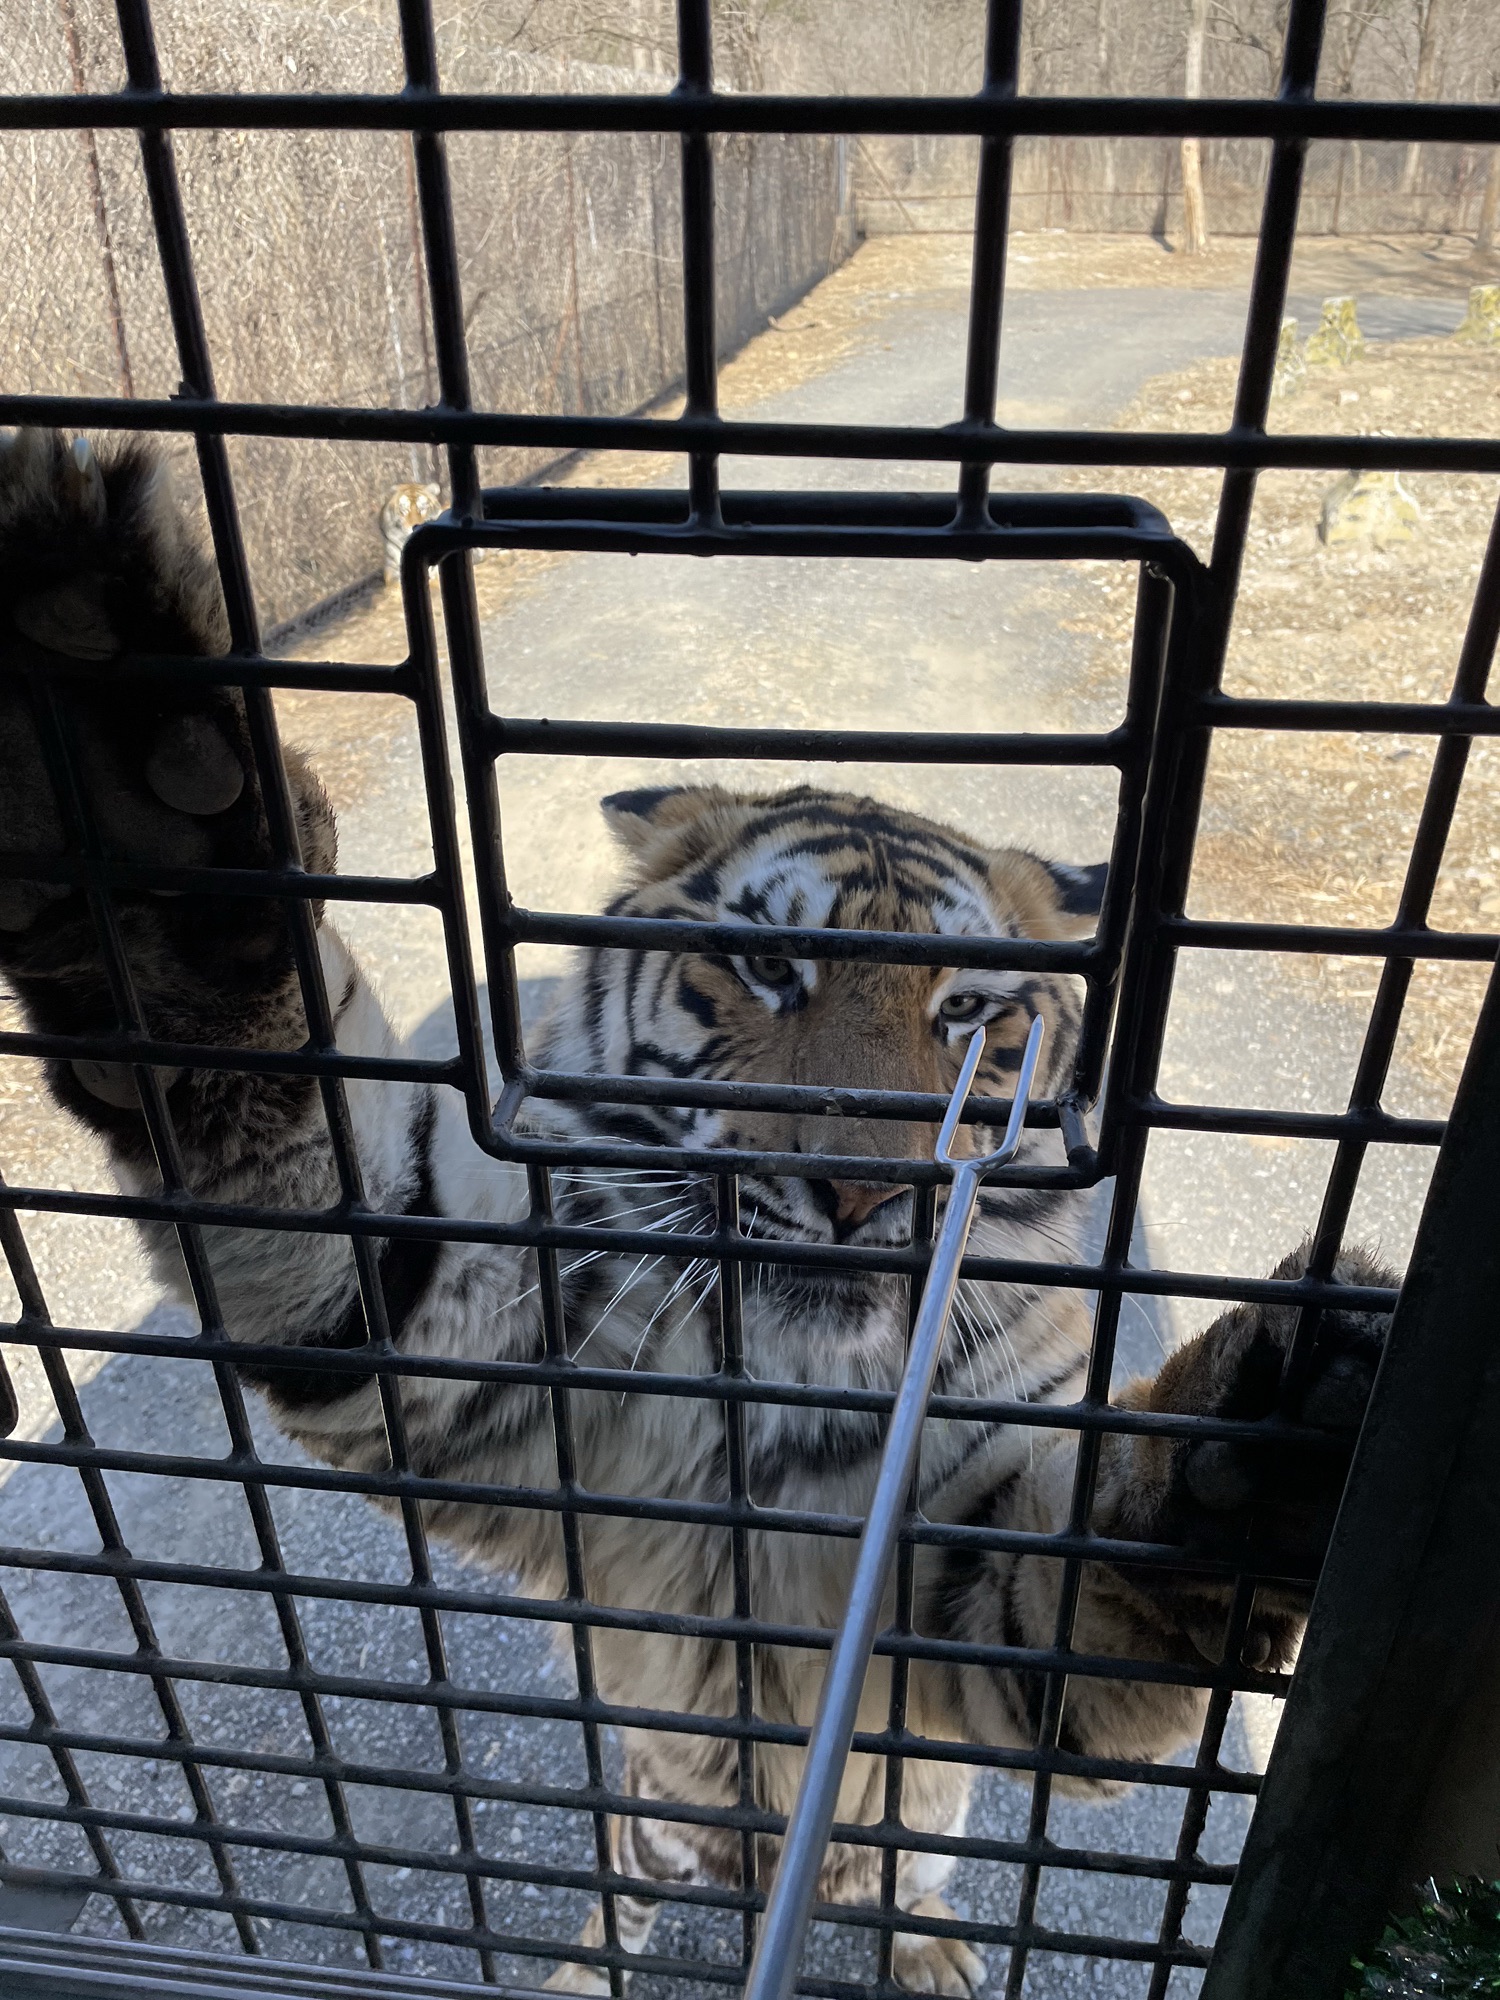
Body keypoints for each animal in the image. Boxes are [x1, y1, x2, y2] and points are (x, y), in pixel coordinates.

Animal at [0, 431, 1392, 1995]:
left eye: (968, 1015)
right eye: (773, 966)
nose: (871, 1187)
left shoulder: (968, 1572)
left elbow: (1111, 1561)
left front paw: (1267, 1431)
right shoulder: (468, 1354)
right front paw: (118, 793)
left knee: (901, 1862)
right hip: (657, 1793)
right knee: (641, 1874)